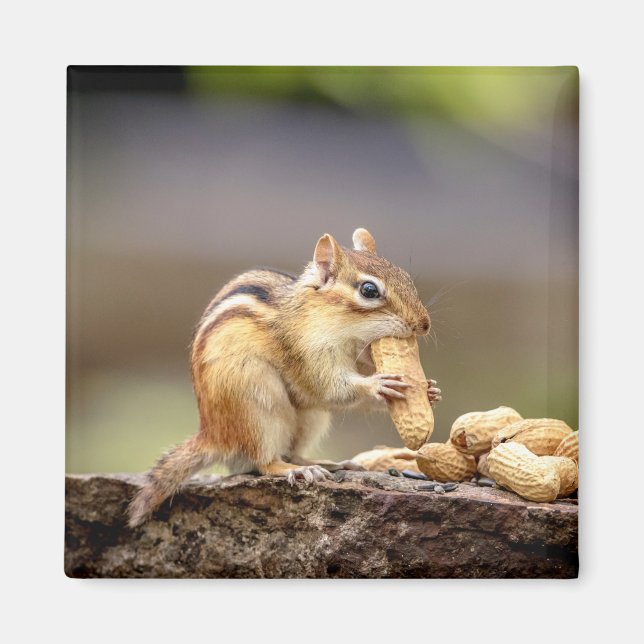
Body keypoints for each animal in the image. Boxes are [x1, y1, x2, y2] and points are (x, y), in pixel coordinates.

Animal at [127, 228, 441, 527]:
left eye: (407, 278)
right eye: (369, 290)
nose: (424, 325)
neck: (345, 333)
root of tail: (213, 435)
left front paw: (429, 390)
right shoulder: (307, 353)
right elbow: (332, 388)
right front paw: (378, 385)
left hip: (311, 418)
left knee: (294, 450)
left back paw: (327, 464)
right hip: (258, 405)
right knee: (265, 462)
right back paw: (297, 470)